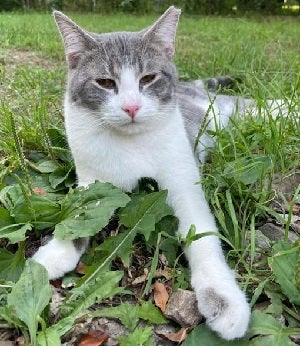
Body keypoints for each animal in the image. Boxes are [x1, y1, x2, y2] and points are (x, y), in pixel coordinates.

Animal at [32, 5, 274, 340]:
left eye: (148, 78)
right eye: (105, 82)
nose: (132, 107)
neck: (130, 143)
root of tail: (190, 85)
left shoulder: (182, 182)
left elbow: (201, 234)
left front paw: (223, 297)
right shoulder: (92, 180)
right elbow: (80, 216)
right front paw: (57, 252)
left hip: (232, 111)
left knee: (259, 107)